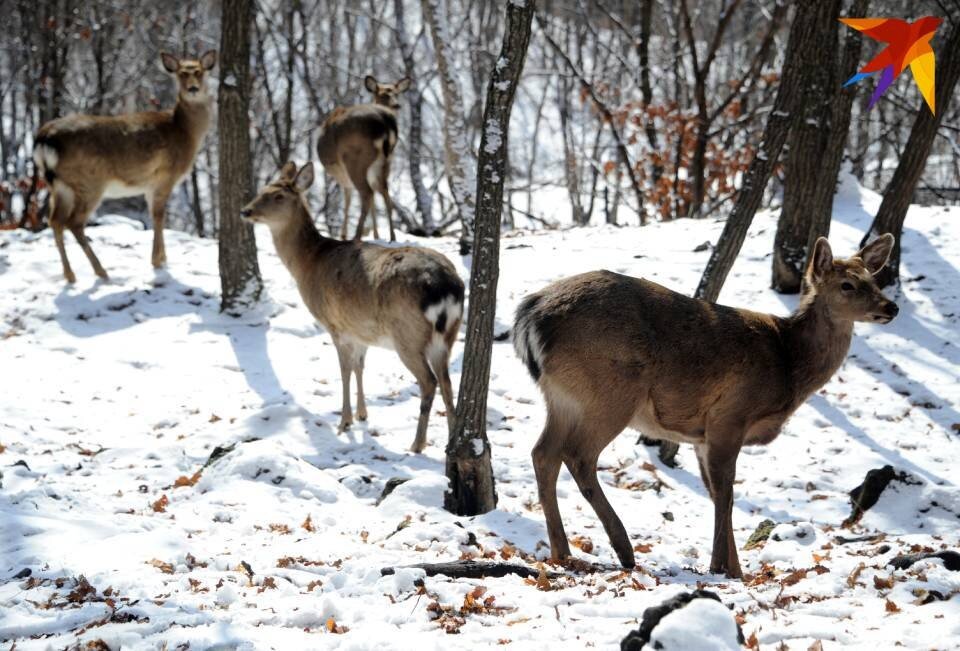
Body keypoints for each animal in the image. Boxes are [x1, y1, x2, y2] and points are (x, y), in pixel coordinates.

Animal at [32, 49, 218, 284]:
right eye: (181, 74)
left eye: (200, 72)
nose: (193, 88)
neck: (185, 133)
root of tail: (44, 139)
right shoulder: (165, 176)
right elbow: (158, 216)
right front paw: (158, 261)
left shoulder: (150, 185)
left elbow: (156, 215)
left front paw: (163, 258)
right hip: (90, 182)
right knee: (74, 222)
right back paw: (101, 271)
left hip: (60, 185)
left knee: (55, 220)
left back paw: (70, 275)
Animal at [242, 162, 464, 454]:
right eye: (261, 191)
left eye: (278, 196)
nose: (246, 211)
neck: (308, 263)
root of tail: (445, 287)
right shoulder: (361, 329)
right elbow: (360, 367)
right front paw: (362, 415)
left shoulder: (336, 325)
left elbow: (344, 370)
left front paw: (344, 421)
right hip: (447, 336)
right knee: (447, 382)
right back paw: (452, 443)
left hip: (407, 334)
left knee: (429, 382)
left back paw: (417, 444)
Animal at [314, 74, 406, 242]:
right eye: (383, 94)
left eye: (397, 93)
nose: (396, 105)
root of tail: (385, 123)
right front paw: (376, 235)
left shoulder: (343, 177)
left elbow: (347, 201)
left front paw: (343, 235)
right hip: (386, 161)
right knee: (385, 193)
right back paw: (392, 237)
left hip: (355, 159)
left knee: (367, 193)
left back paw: (355, 237)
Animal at [516, 236, 900, 580]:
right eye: (847, 285)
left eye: (873, 279)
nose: (890, 307)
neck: (787, 363)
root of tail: (531, 316)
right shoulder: (730, 415)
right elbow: (726, 495)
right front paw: (721, 569)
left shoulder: (702, 437)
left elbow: (716, 494)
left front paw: (735, 568)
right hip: (609, 391)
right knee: (578, 456)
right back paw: (623, 549)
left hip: (563, 397)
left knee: (543, 453)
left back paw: (562, 551)